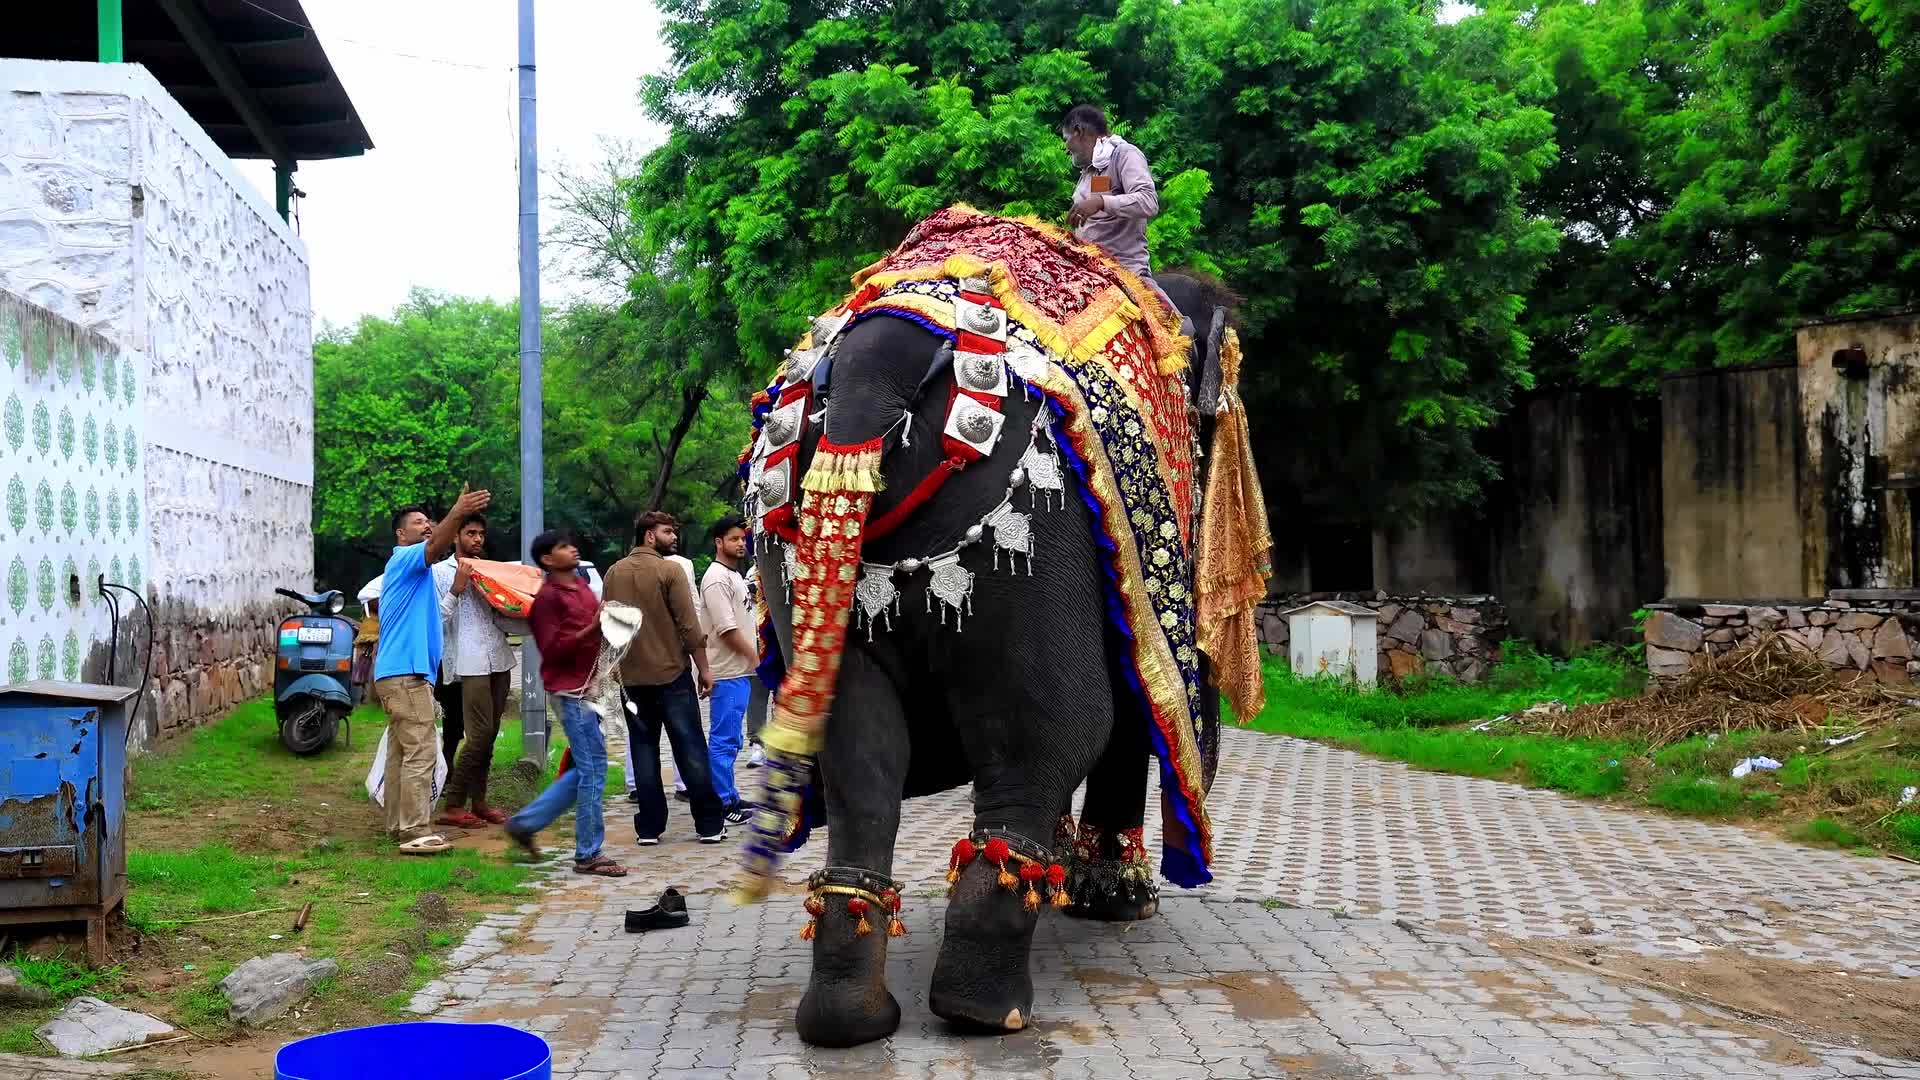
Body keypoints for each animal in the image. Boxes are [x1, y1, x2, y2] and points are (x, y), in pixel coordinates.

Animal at [750, 263, 1242, 1049]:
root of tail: (870, 372)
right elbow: (1118, 712)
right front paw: (1117, 899)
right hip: (1040, 526)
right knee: (1044, 738)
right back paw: (988, 1012)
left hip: (795, 550)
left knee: (861, 758)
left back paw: (849, 1018)